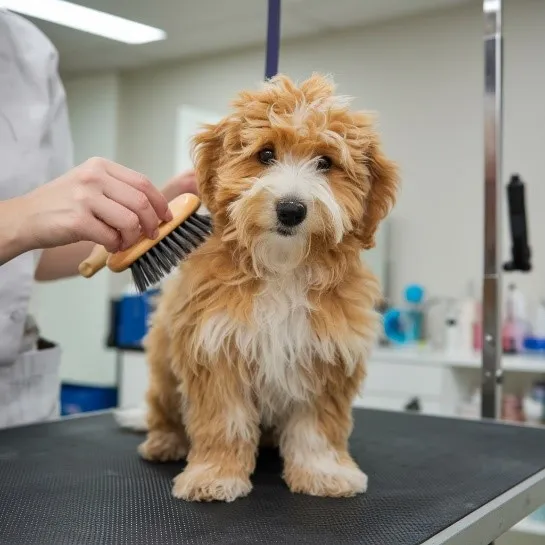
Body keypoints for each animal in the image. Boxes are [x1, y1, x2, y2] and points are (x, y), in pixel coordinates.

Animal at [138, 72, 398, 502]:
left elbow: (317, 427)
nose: (291, 209)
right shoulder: (216, 349)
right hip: (163, 364)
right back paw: (165, 441)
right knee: (164, 409)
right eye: (265, 154)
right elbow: (224, 421)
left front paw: (324, 472)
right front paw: (215, 475)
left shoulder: (327, 355)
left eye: (325, 162)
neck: (282, 267)